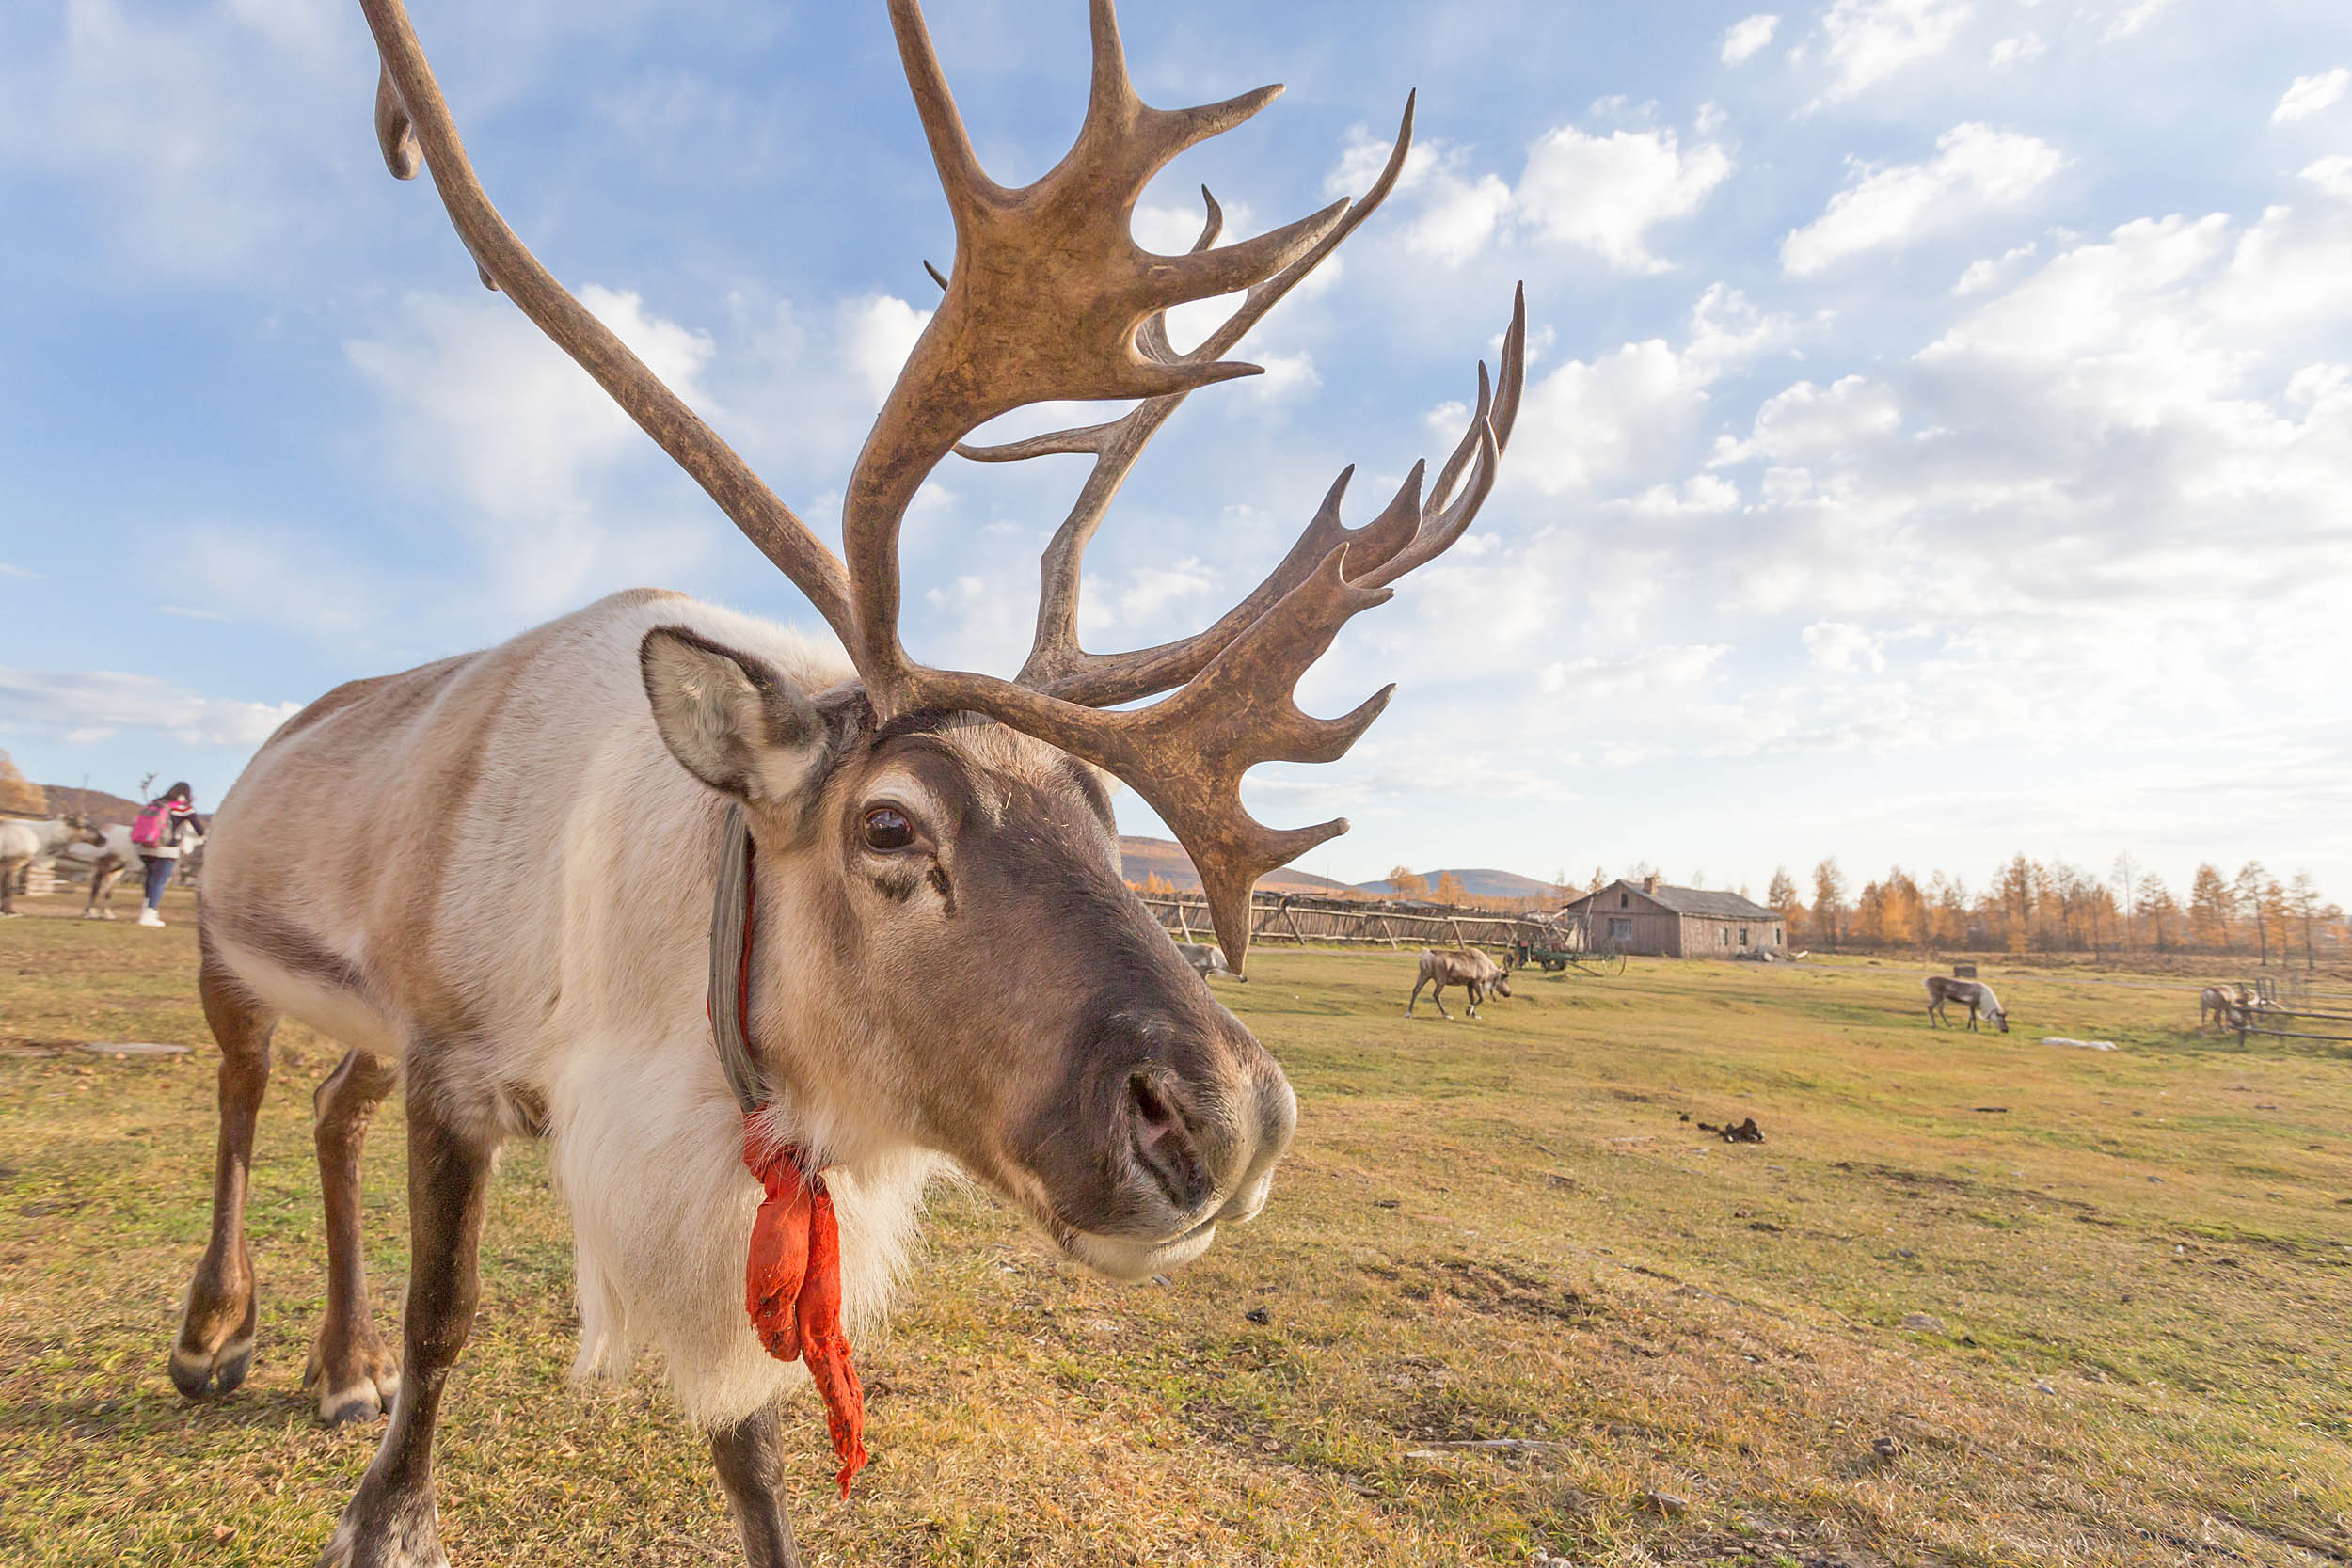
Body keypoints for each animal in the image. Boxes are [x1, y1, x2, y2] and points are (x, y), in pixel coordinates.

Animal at [167, 5, 1524, 1565]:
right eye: (890, 824)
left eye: (1105, 819)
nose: (1231, 1120)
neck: (638, 981)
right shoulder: (454, 1057)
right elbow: (444, 1314)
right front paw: (386, 1505)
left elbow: (753, 1442)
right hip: (225, 938)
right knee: (244, 1091)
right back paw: (215, 1333)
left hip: (361, 1020)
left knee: (331, 1104)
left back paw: (336, 1362)